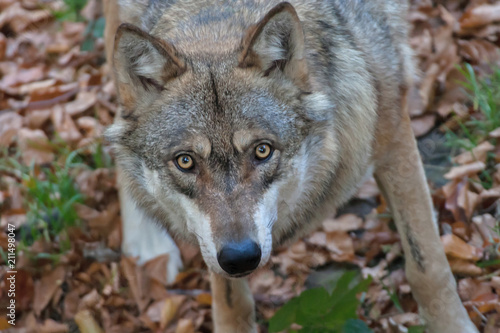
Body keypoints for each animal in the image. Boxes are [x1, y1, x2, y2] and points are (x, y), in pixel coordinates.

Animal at [103, 0, 478, 330]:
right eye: (185, 162)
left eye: (262, 151)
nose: (240, 257)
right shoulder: (214, 247)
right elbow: (230, 302)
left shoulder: (393, 136)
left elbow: (427, 268)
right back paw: (148, 246)